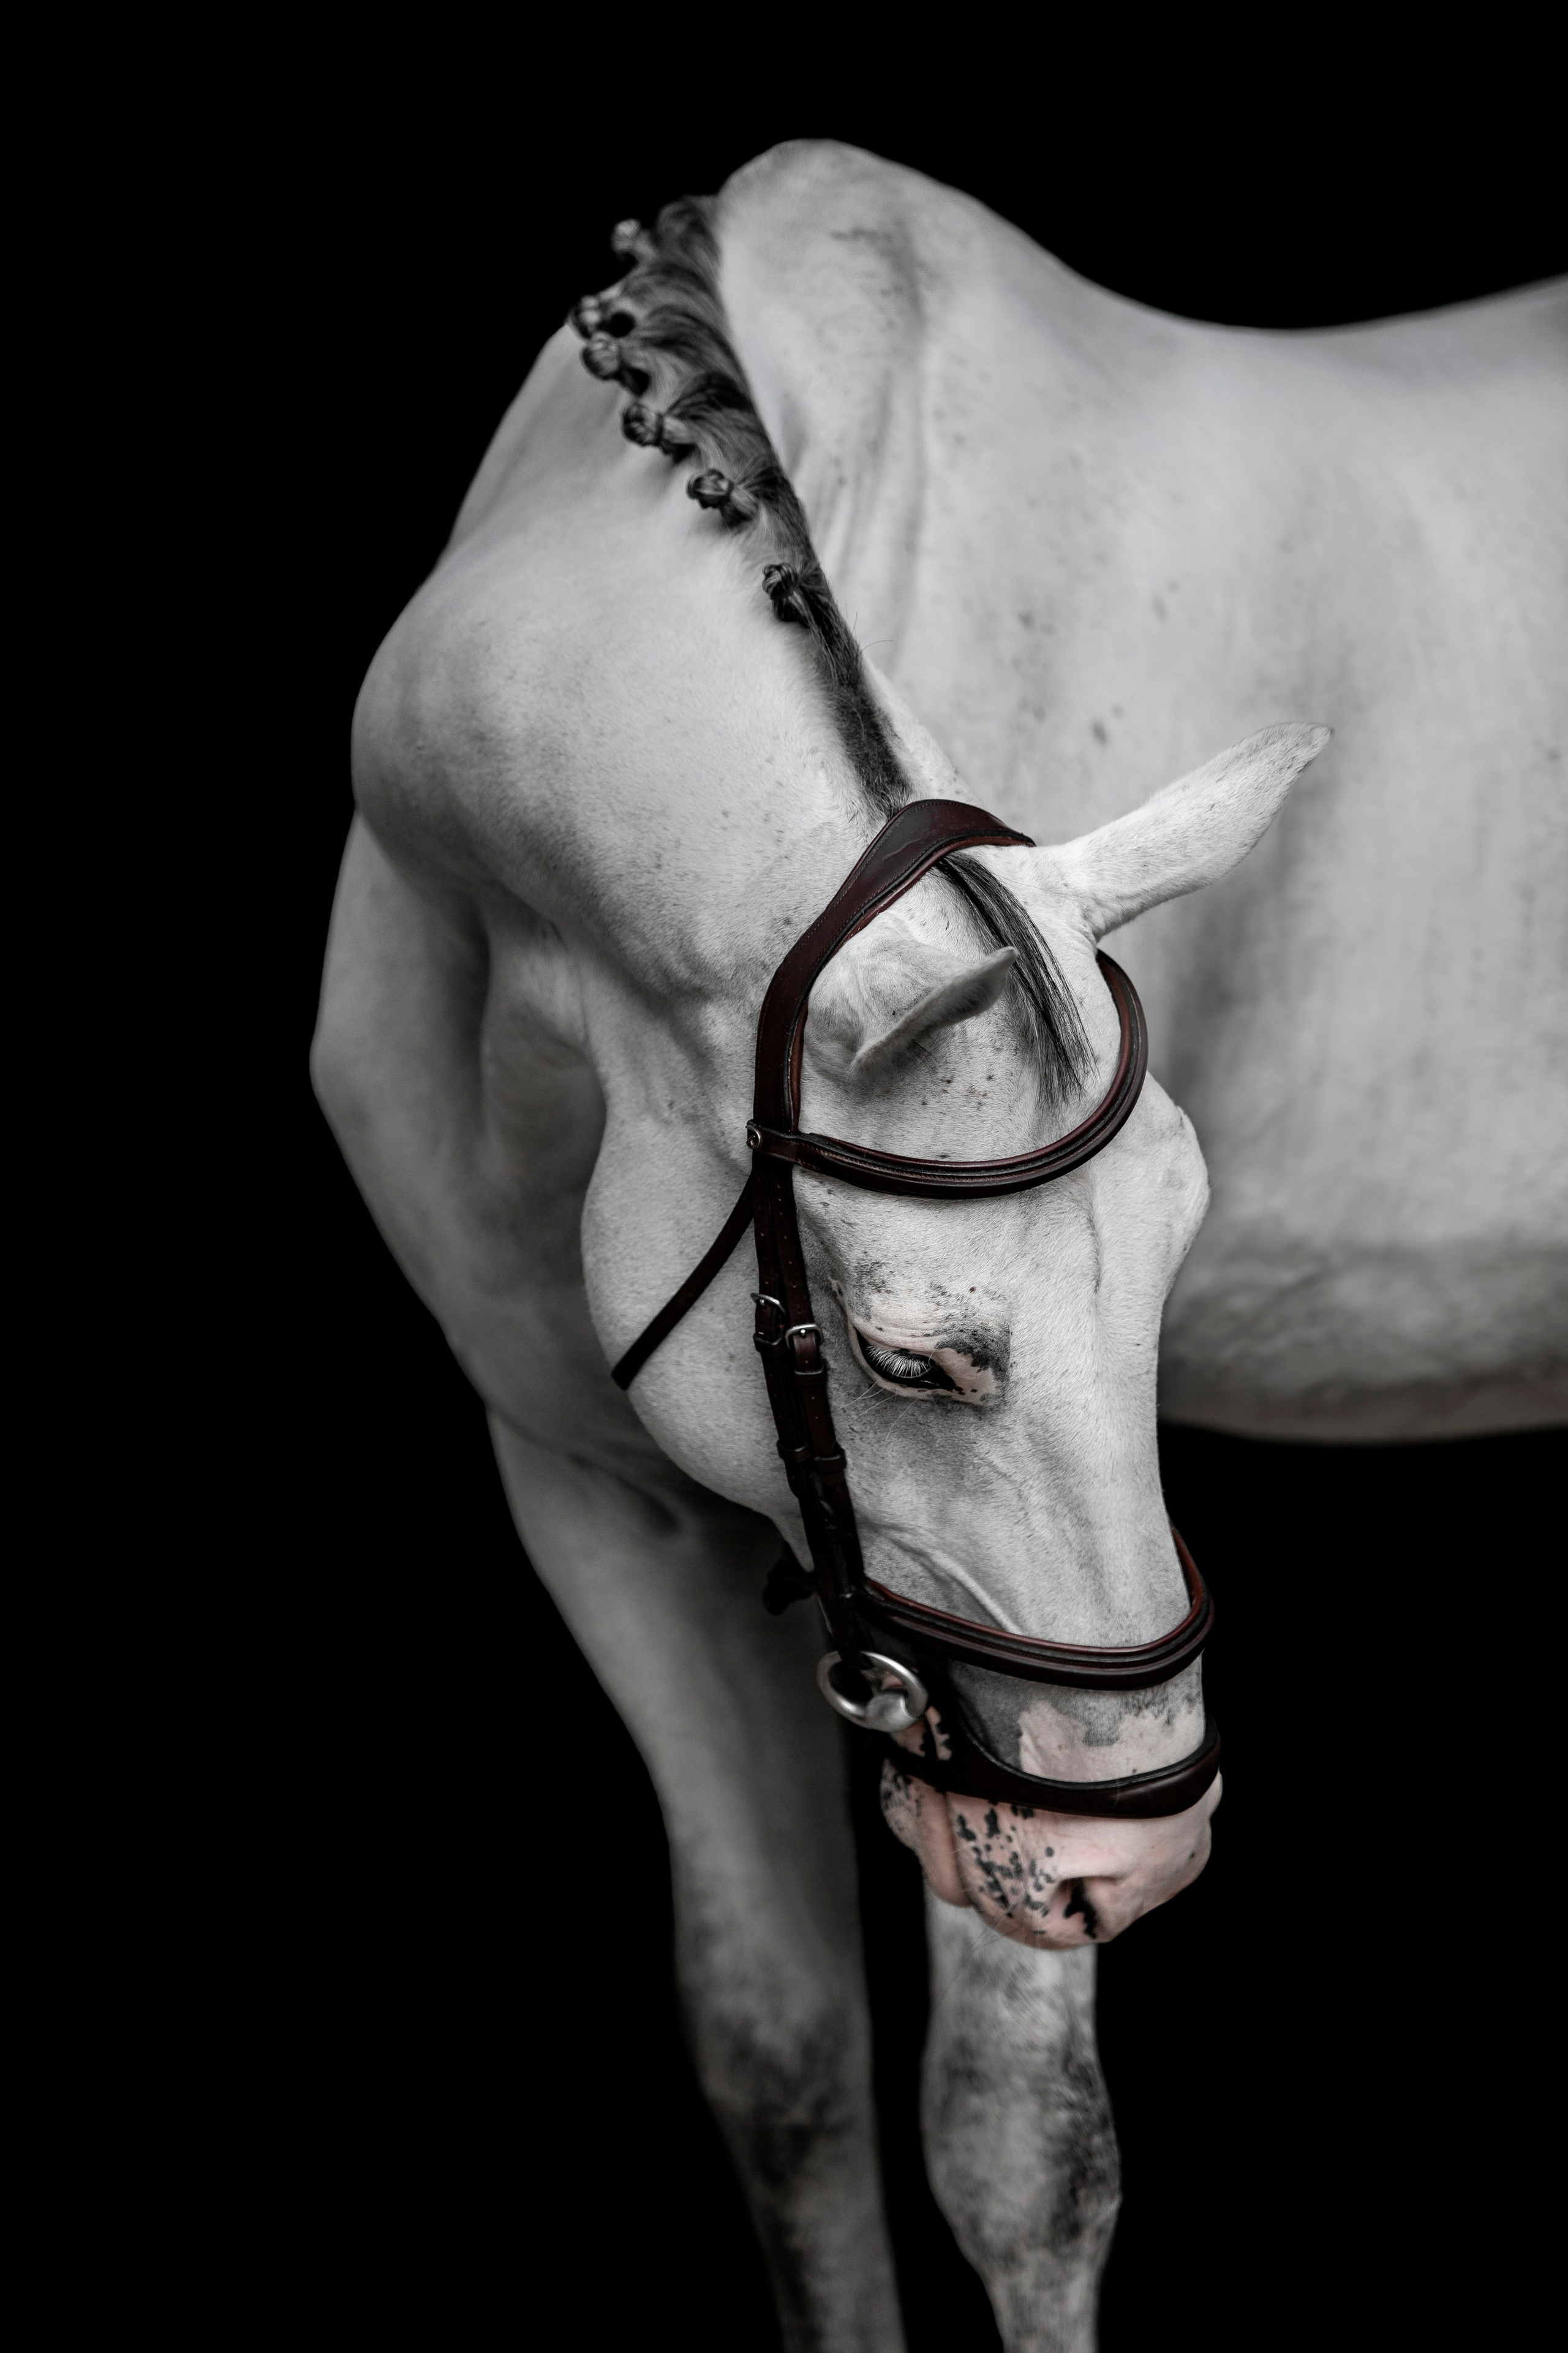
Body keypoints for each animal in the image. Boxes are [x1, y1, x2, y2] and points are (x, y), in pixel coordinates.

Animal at [313, 142, 1567, 2351]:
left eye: (1171, 1286)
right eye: (912, 1359)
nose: (1135, 1871)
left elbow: (1019, 2154)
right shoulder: (597, 1495)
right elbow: (781, 2060)